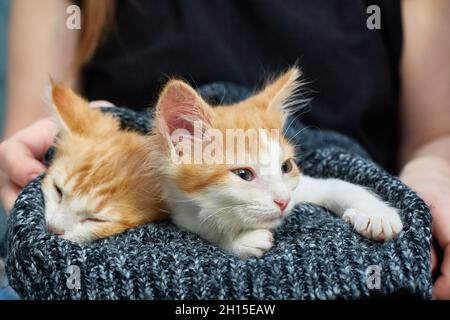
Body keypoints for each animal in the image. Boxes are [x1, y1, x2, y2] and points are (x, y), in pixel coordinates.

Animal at [43, 67, 404, 258]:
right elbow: (202, 225)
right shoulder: (175, 204)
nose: (283, 202)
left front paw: (377, 214)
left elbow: (336, 185)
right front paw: (240, 239)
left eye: (286, 167)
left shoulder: (300, 186)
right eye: (243, 174)